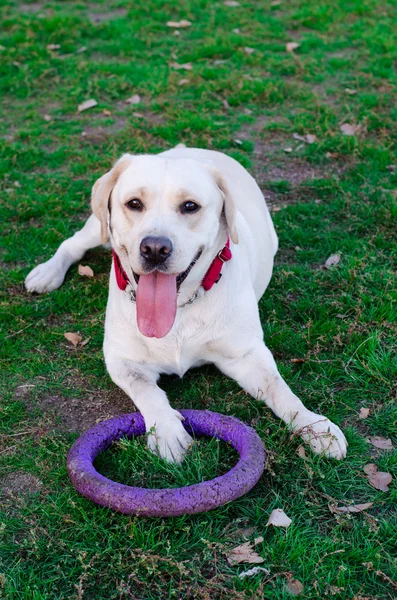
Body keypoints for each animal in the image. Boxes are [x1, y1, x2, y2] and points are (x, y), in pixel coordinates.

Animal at [25, 148, 346, 462]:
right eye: (134, 203)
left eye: (190, 206)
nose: (155, 248)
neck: (179, 308)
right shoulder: (122, 360)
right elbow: (148, 392)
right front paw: (167, 432)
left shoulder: (245, 355)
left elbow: (279, 388)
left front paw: (315, 426)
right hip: (96, 225)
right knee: (73, 243)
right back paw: (46, 273)